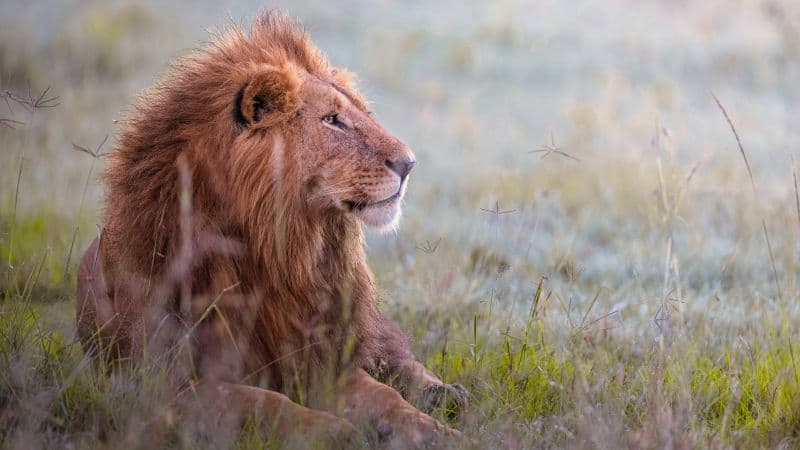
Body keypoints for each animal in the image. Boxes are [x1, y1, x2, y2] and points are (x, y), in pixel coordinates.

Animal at [75, 10, 467, 447]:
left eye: (361, 113)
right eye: (332, 121)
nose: (410, 163)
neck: (280, 255)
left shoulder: (320, 356)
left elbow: (383, 395)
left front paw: (433, 430)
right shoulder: (164, 388)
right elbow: (262, 401)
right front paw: (335, 431)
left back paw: (445, 394)